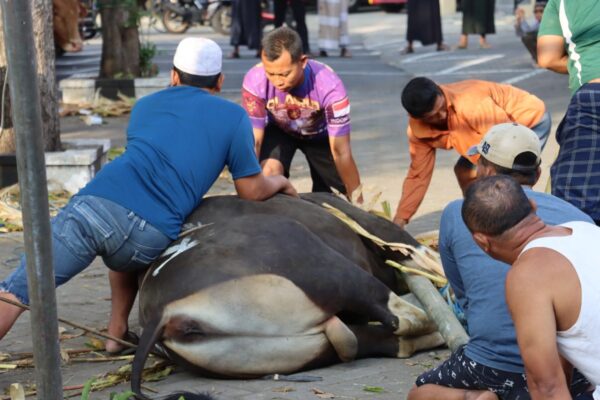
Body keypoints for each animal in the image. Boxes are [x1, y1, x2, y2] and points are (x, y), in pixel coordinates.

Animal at [131, 193, 446, 396]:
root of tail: (164, 315)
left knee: (377, 340)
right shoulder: (377, 229)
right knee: (402, 317)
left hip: (307, 350)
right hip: (320, 267)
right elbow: (417, 251)